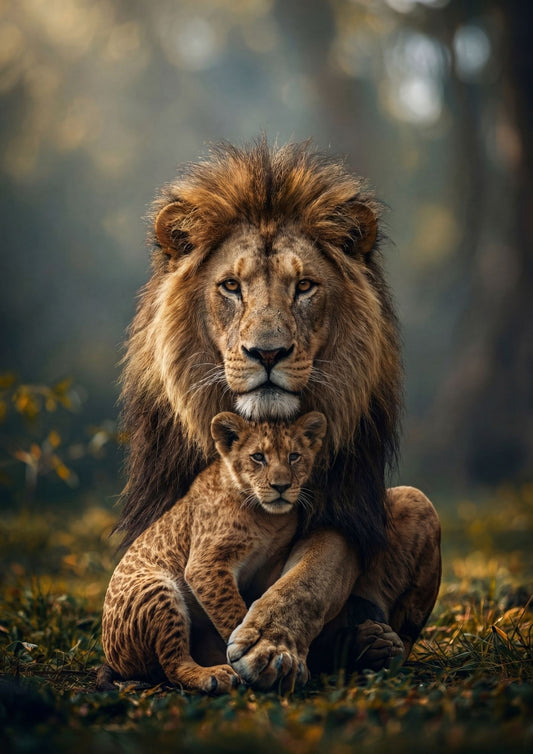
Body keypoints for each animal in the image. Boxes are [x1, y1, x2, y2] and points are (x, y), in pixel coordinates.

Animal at [115, 139, 441, 686]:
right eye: (230, 286)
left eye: (304, 286)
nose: (267, 353)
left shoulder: (339, 506)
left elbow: (314, 574)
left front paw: (269, 642)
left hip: (418, 502)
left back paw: (371, 643)